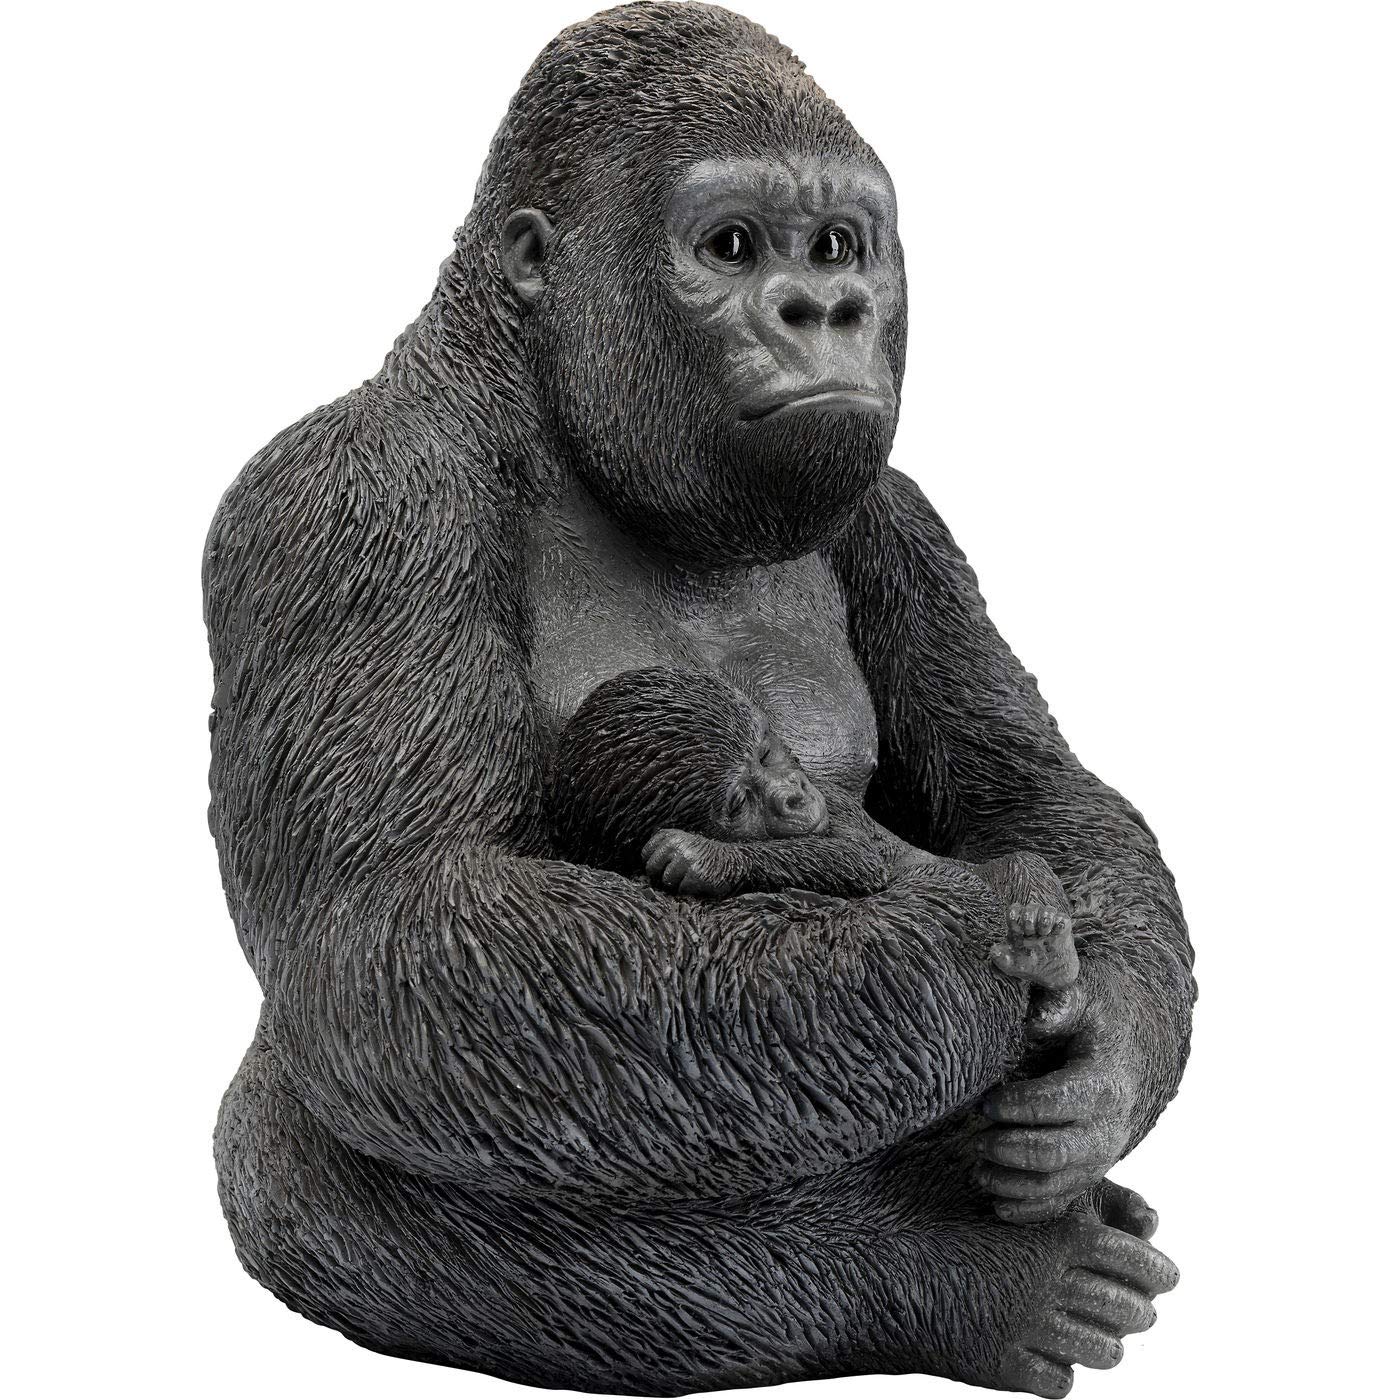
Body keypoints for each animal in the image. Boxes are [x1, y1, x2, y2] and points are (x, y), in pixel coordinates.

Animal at [554, 666, 1079, 991]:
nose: (791, 795)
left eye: (766, 754)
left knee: (1021, 863)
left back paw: (1045, 948)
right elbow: (857, 861)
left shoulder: (832, 801)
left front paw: (704, 857)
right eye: (740, 801)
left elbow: (859, 857)